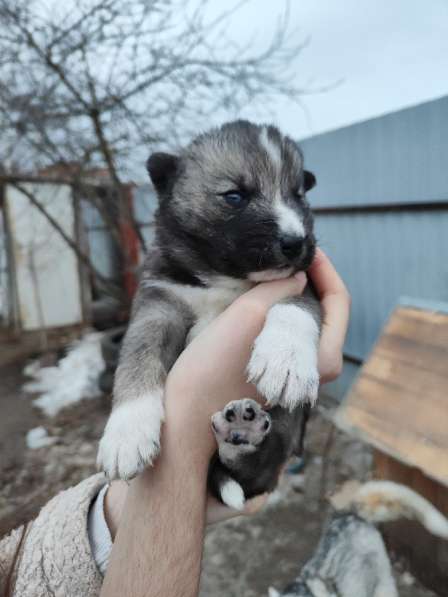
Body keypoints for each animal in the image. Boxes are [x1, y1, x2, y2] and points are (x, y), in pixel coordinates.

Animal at [98, 120, 322, 502]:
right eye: (234, 196)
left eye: (298, 196)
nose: (296, 243)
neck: (223, 278)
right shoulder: (158, 304)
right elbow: (138, 354)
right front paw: (127, 431)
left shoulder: (306, 283)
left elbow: (295, 306)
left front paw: (287, 359)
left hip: (287, 428)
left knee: (258, 470)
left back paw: (244, 436)